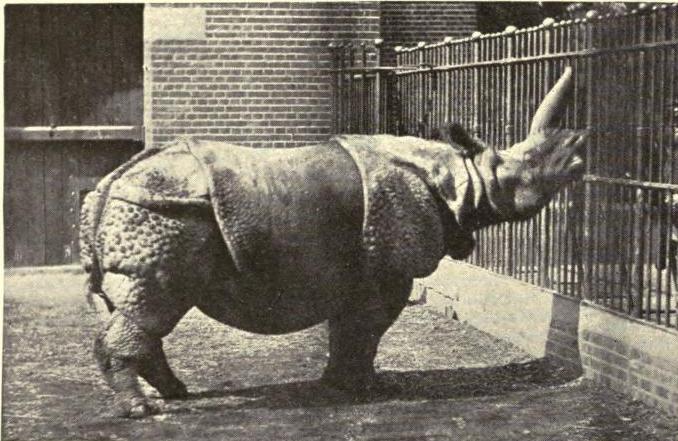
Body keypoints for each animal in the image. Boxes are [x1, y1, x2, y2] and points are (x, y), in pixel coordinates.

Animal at [80, 67, 587, 418]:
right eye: (521, 175)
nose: (580, 158)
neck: (460, 173)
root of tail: (109, 181)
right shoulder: (389, 261)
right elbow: (369, 326)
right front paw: (371, 390)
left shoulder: (359, 263)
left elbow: (348, 327)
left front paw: (340, 385)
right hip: (162, 212)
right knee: (156, 301)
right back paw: (144, 411)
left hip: (150, 211)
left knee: (143, 306)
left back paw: (175, 394)